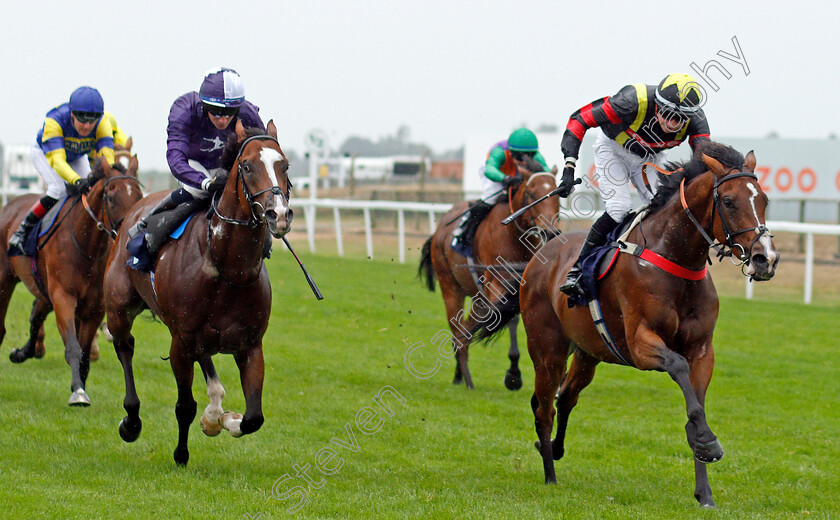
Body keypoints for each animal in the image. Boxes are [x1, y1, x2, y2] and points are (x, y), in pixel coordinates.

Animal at [0, 158, 141, 406]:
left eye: (139, 195)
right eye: (111, 197)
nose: (129, 235)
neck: (86, 245)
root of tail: (9, 206)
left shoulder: (95, 307)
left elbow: (84, 351)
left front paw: (80, 383)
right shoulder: (63, 298)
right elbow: (73, 347)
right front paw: (78, 392)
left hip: (43, 290)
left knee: (36, 315)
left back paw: (23, 352)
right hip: (5, 279)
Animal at [105, 122, 292, 468]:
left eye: (284, 165)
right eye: (247, 166)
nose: (280, 214)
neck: (228, 269)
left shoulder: (250, 345)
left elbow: (253, 417)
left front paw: (223, 420)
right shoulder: (180, 343)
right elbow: (184, 406)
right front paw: (181, 453)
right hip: (119, 309)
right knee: (125, 348)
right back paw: (131, 421)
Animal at [418, 157, 560, 390]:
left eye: (557, 194)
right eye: (532, 194)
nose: (550, 232)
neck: (514, 233)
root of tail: (440, 228)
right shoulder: (497, 283)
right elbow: (508, 319)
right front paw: (513, 375)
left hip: (478, 296)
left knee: (465, 330)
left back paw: (459, 375)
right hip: (451, 287)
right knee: (458, 331)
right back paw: (467, 379)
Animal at [472, 143, 780, 508]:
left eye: (764, 200)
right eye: (729, 201)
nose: (765, 259)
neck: (675, 260)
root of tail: (540, 255)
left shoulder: (702, 350)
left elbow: (697, 406)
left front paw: (704, 485)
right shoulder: (640, 343)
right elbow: (677, 366)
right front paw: (707, 441)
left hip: (588, 353)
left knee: (567, 396)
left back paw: (556, 450)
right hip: (548, 351)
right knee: (544, 406)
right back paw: (550, 475)